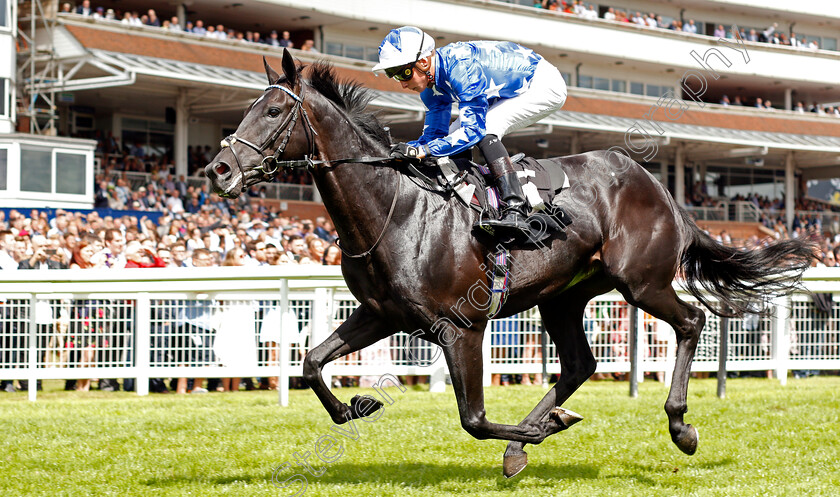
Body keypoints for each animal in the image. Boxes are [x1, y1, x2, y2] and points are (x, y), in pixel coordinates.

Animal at [203, 49, 812, 476]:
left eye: (274, 110)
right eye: (249, 108)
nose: (219, 169)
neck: (395, 211)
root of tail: (657, 185)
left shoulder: (461, 328)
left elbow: (472, 420)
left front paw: (535, 437)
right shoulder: (382, 314)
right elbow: (310, 362)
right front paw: (356, 406)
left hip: (640, 282)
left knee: (691, 321)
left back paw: (678, 426)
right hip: (563, 297)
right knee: (580, 364)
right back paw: (537, 430)